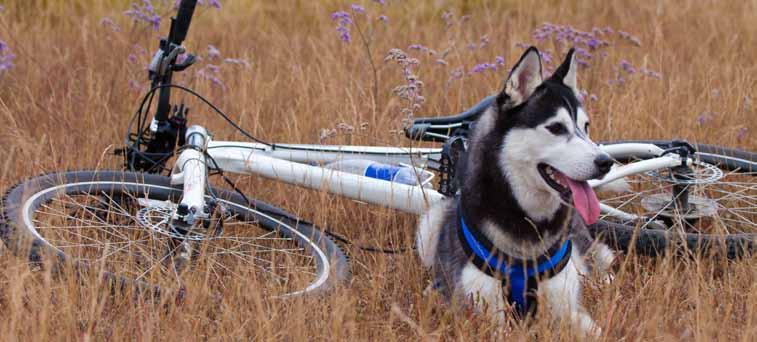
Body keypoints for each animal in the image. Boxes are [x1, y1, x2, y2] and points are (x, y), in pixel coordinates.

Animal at [416, 46, 616, 336]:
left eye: (586, 126)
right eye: (556, 128)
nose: (606, 162)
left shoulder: (569, 310)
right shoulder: (483, 315)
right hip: (429, 224)